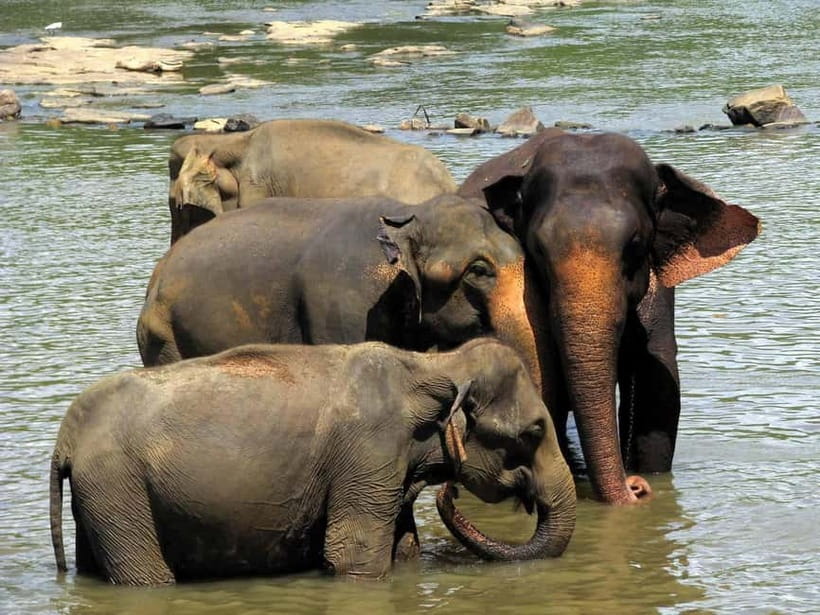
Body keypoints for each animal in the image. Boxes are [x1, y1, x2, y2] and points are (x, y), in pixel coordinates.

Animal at [50, 338, 576, 584]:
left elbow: (403, 549)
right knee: (147, 576)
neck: (432, 363)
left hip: (101, 495)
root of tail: (67, 435)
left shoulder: (383, 467)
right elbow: (353, 554)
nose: (450, 492)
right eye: (534, 431)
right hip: (116, 486)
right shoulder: (369, 450)